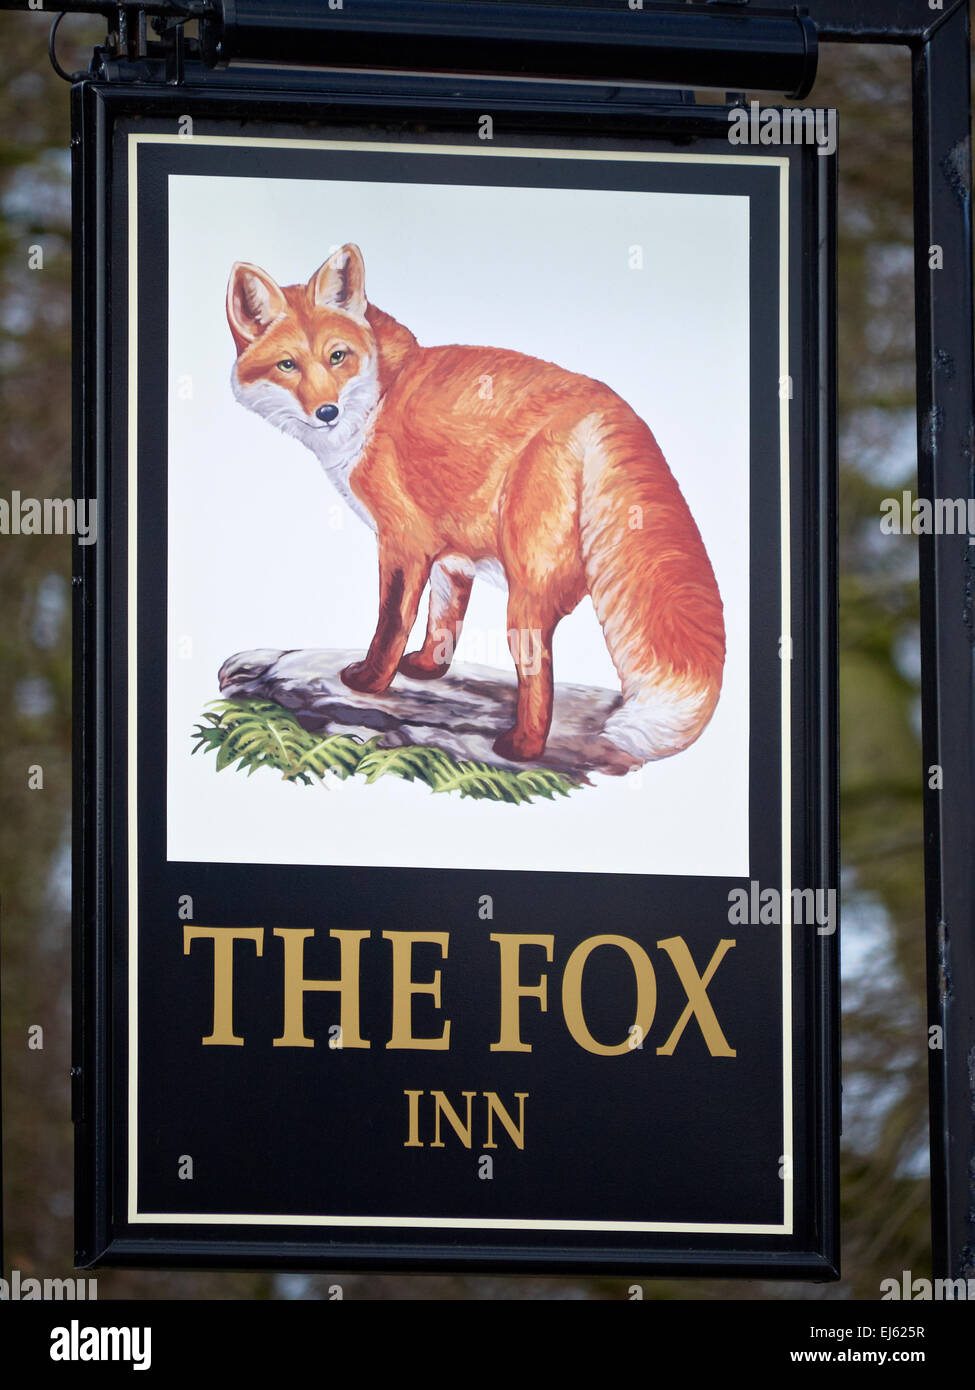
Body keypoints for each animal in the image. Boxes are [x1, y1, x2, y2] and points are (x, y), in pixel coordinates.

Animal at [226, 244, 725, 769]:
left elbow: (392, 623)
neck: (380, 396)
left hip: (524, 595)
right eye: (287, 365)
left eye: (337, 357)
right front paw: (427, 669)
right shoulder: (451, 553)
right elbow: (443, 619)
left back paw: (523, 747)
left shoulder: (404, 542)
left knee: (538, 670)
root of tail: (613, 410)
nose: (327, 412)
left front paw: (369, 682)